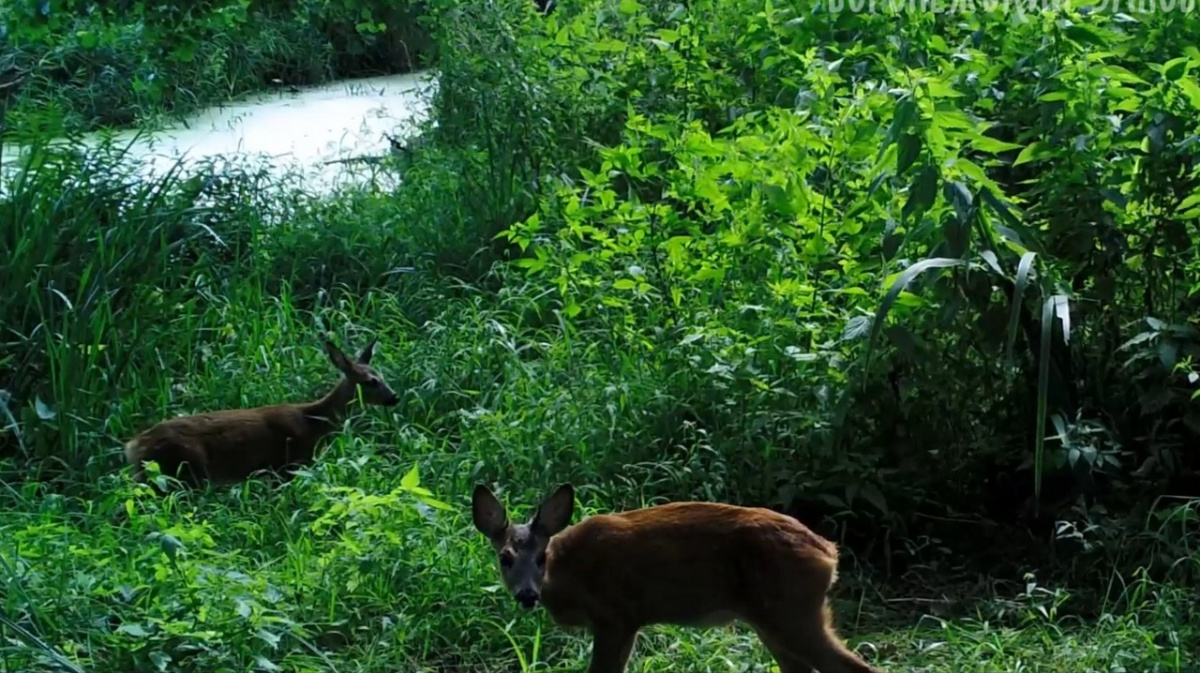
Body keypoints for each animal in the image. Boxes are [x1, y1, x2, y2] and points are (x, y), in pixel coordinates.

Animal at [124, 338, 400, 484]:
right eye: (370, 381)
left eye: (382, 376)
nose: (394, 397)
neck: (314, 423)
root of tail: (133, 445)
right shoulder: (289, 462)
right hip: (184, 469)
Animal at [472, 482, 888, 671]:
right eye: (505, 557)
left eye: (541, 556)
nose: (527, 595)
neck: (569, 574)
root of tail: (829, 552)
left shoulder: (616, 617)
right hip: (774, 620)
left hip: (791, 612)